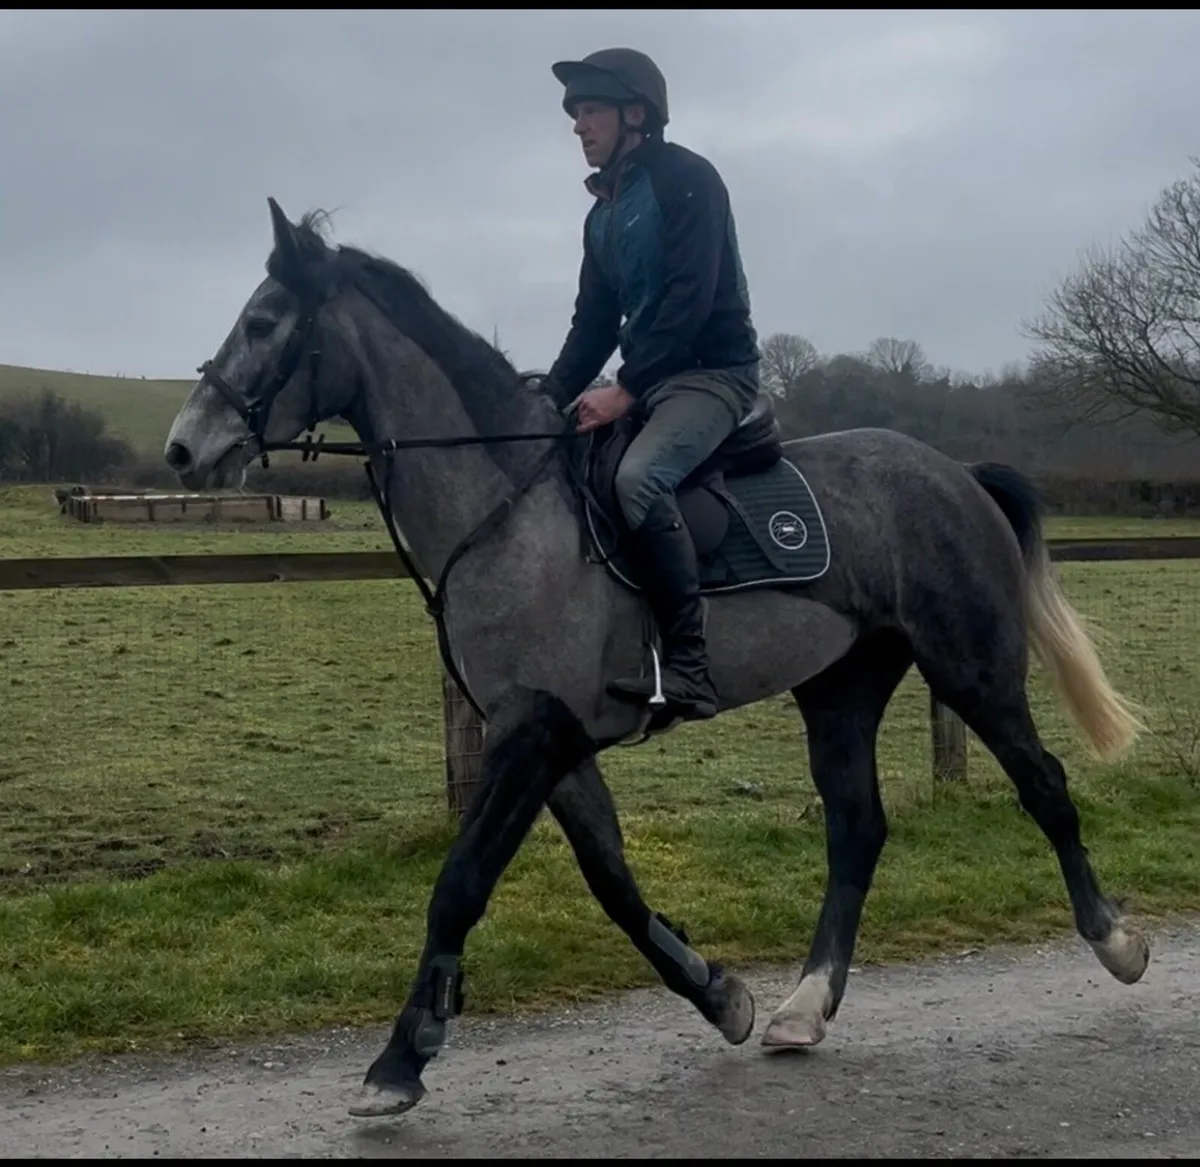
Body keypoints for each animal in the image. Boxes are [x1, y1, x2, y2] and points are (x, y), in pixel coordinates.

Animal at [163, 198, 1149, 1119]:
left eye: (265, 321)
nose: (183, 447)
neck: (508, 508)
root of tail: (955, 474)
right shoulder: (553, 742)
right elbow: (611, 879)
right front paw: (721, 995)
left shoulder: (532, 734)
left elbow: (461, 884)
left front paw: (400, 1059)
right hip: (840, 690)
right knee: (856, 828)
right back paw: (804, 1006)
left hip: (972, 669)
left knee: (1044, 785)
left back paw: (1116, 942)